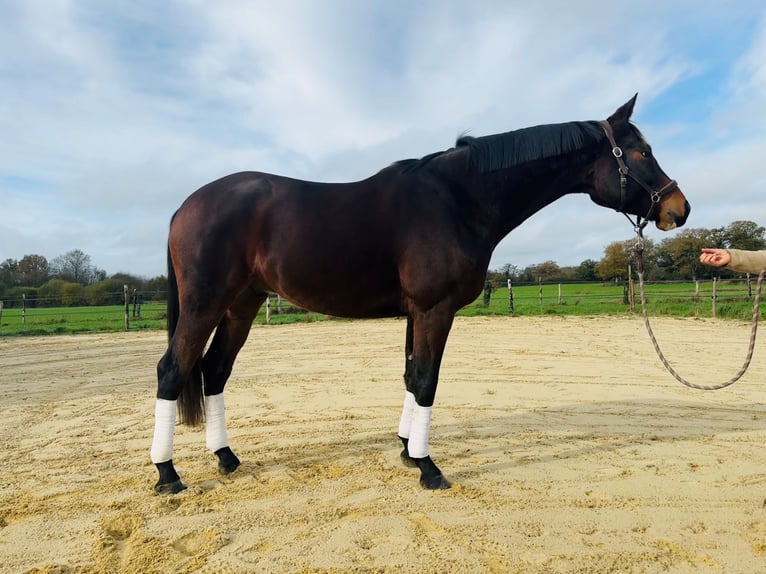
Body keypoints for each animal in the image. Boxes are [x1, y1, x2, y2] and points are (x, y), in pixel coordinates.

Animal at [151, 94, 690, 494]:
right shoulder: (436, 309)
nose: (679, 209)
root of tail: (185, 206)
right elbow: (427, 380)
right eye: (641, 153)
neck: (458, 200)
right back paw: (168, 475)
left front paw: (408, 452)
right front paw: (429, 469)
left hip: (241, 305)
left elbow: (412, 376)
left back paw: (226, 458)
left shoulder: (417, 312)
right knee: (174, 370)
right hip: (204, 304)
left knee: (215, 371)